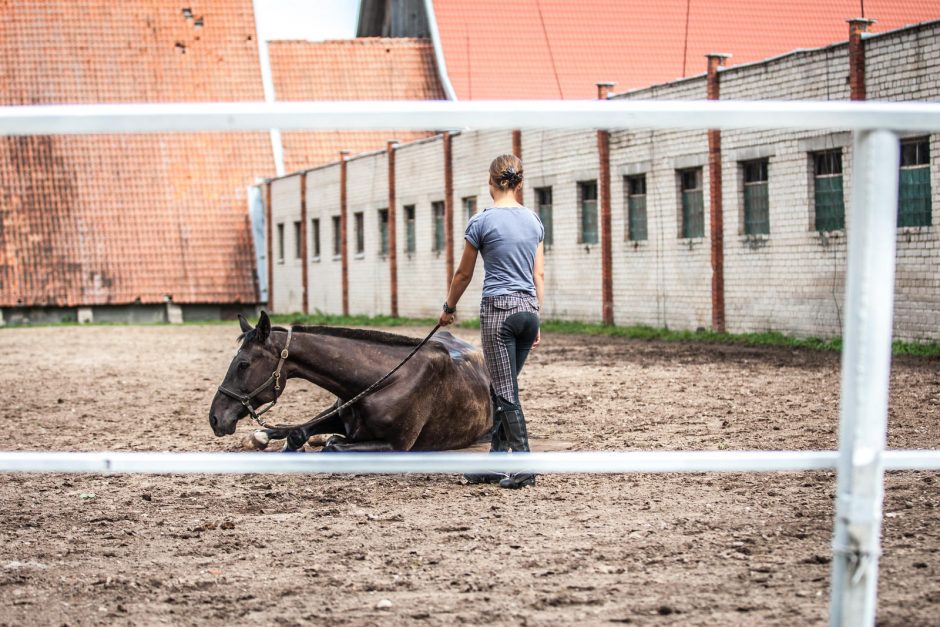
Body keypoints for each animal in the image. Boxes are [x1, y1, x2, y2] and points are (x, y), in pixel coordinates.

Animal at [210, 312, 496, 452]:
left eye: (243, 364)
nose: (215, 418)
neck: (387, 380)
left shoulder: (396, 445)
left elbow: (333, 446)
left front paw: (328, 441)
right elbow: (298, 433)